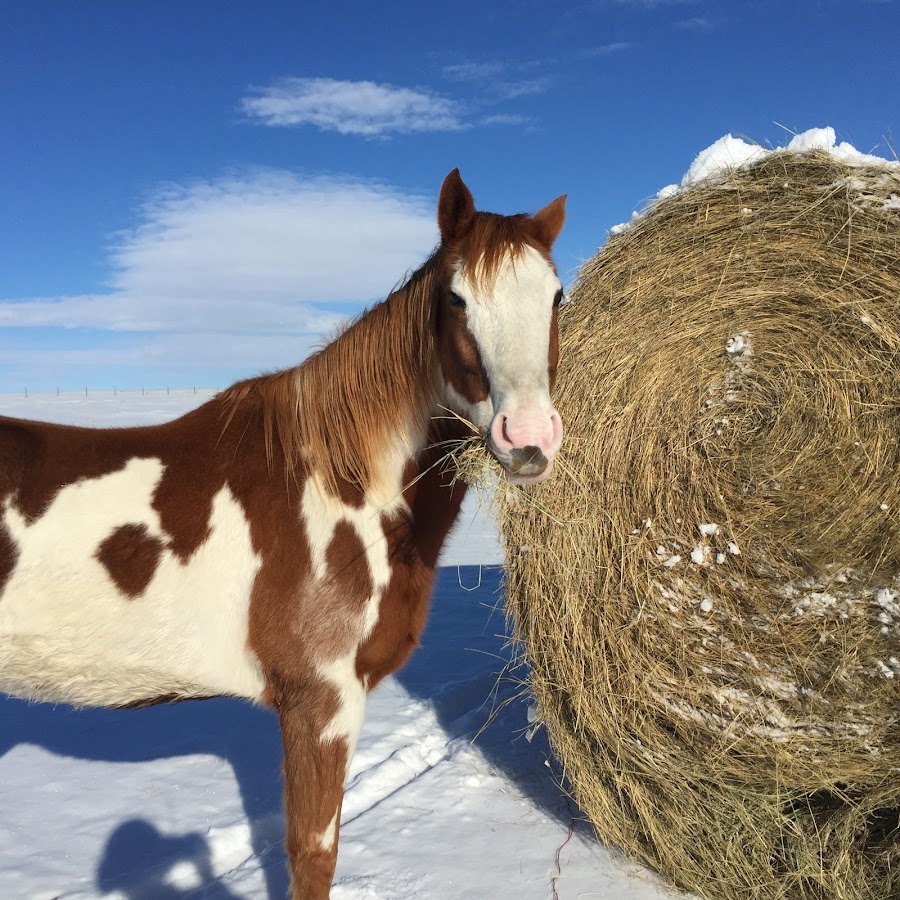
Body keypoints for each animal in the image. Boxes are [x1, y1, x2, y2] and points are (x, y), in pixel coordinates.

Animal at [0, 171, 564, 900]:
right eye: (455, 298)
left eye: (556, 296)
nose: (529, 440)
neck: (338, 485)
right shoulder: (320, 703)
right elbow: (313, 854)